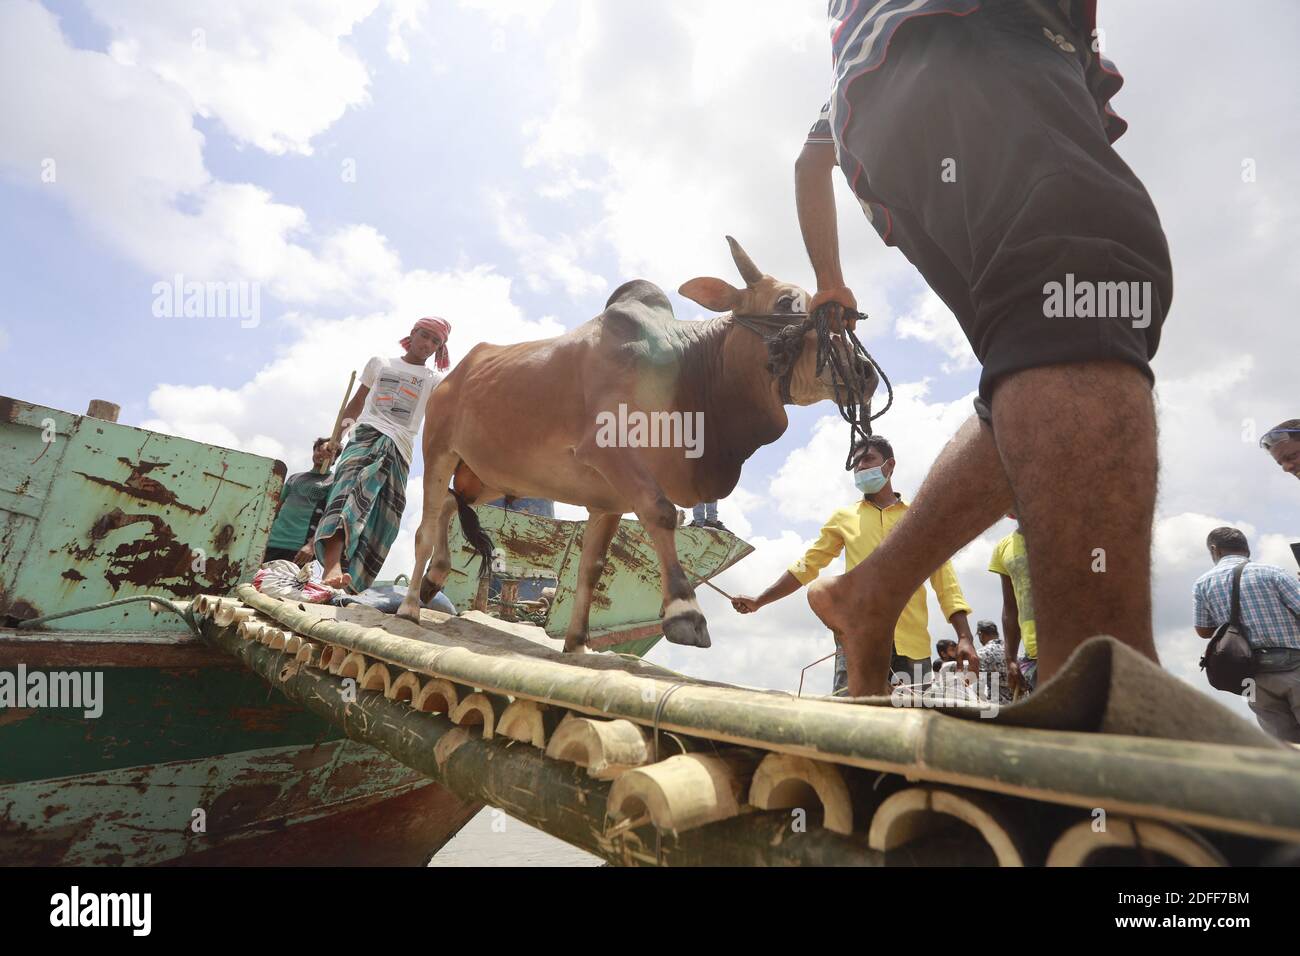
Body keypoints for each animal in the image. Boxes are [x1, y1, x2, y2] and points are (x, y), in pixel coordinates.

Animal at [395, 238, 878, 650]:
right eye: (785, 303)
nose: (864, 372)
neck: (689, 377)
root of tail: (452, 377)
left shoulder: (608, 498)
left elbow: (592, 569)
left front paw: (577, 643)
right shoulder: (608, 452)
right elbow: (662, 513)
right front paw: (685, 613)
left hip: (490, 475)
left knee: (450, 505)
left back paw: (436, 577)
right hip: (439, 451)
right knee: (425, 526)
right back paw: (411, 604)